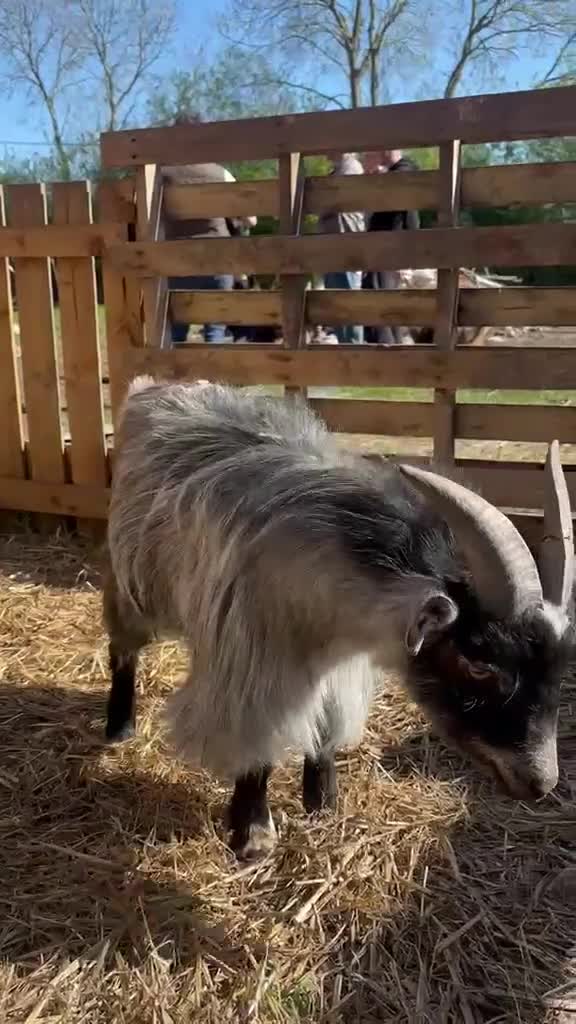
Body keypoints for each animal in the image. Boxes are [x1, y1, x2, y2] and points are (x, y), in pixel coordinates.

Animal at [104, 378, 575, 860]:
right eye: (479, 662)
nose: (541, 782)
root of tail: (154, 387)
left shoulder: (343, 663)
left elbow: (328, 719)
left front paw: (323, 801)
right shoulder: (253, 660)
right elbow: (258, 743)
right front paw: (253, 833)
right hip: (133, 582)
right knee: (123, 645)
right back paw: (119, 727)